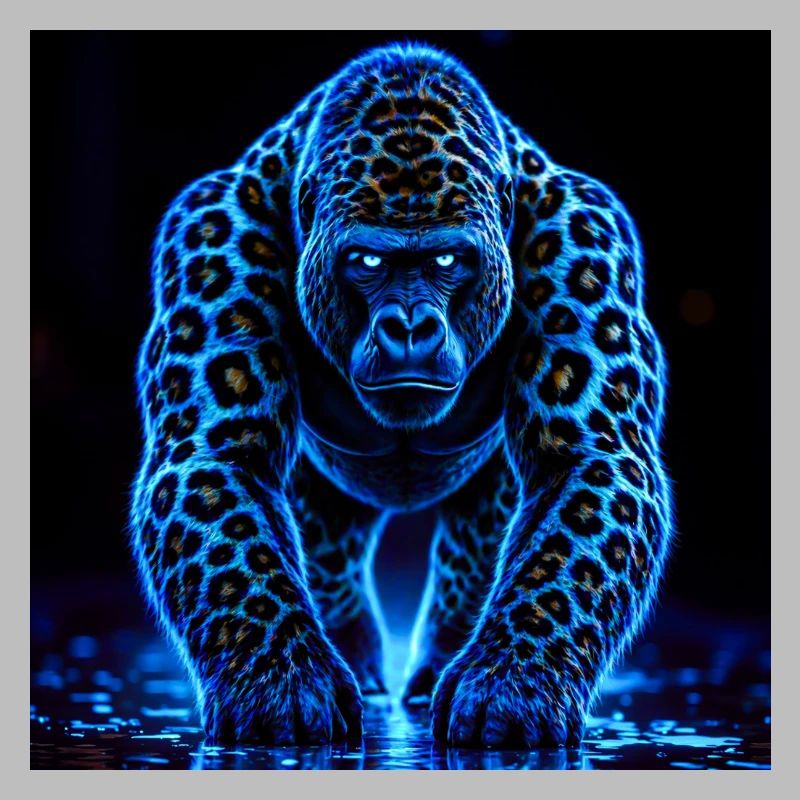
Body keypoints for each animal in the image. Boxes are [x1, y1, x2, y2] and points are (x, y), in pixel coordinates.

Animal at [130, 42, 672, 748]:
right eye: (367, 262)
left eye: (446, 261)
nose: (409, 327)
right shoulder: (212, 236)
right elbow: (225, 493)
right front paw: (281, 682)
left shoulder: (586, 241)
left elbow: (578, 488)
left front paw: (512, 683)